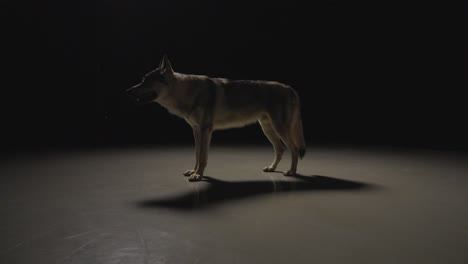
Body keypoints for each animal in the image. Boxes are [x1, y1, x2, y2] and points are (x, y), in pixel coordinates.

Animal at [126, 55, 306, 182]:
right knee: (280, 149)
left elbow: (203, 157)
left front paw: (198, 175)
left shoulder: (205, 130)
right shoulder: (196, 130)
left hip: (279, 128)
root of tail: (290, 88)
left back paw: (292, 172)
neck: (187, 92)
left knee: (294, 149)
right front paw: (194, 171)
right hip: (268, 128)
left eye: (146, 81)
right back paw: (271, 168)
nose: (127, 91)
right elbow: (197, 154)